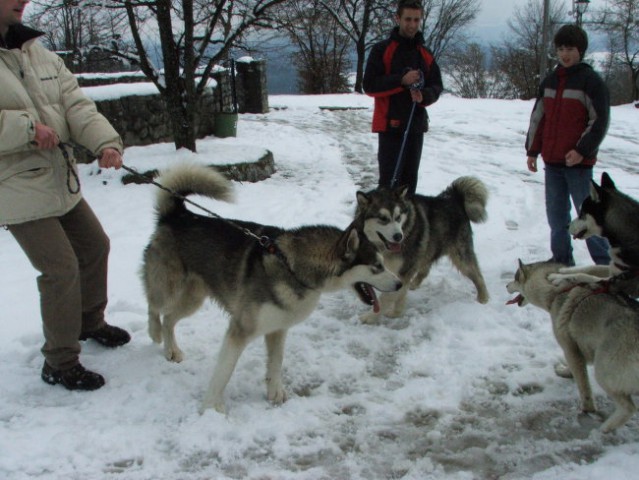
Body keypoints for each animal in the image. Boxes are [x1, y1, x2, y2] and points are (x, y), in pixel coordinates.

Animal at [142, 163, 402, 410]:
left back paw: (171, 350)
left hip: (193, 299)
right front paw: (211, 407)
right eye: (377, 266)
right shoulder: (240, 329)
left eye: (383, 263)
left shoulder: (278, 327)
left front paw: (274, 392)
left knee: (169, 319)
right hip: (168, 287)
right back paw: (154, 332)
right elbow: (224, 372)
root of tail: (179, 215)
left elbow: (276, 362)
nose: (400, 284)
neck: (292, 266)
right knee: (154, 305)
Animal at [356, 178, 490, 324]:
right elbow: (399, 292)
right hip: (426, 248)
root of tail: (453, 197)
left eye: (398, 217)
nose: (399, 236)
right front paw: (397, 312)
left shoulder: (403, 270)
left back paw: (483, 299)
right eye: (383, 218)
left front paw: (372, 316)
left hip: (460, 256)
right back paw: (414, 283)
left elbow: (388, 297)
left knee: (477, 275)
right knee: (425, 268)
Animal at [510, 260, 639, 434]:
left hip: (603, 371)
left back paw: (606, 428)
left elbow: (583, 385)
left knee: (629, 408)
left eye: (515, 278)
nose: (506, 285)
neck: (555, 292)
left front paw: (587, 408)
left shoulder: (569, 347)